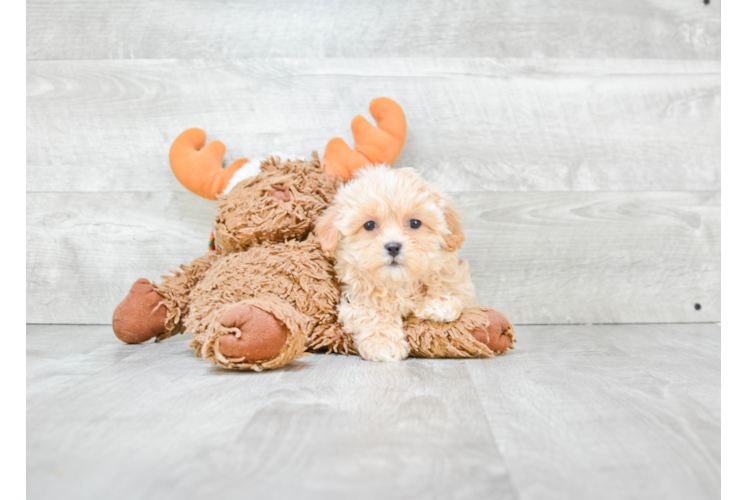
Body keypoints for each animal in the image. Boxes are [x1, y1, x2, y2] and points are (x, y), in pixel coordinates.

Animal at [314, 166, 476, 362]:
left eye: (415, 223)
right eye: (369, 225)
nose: (393, 247)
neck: (399, 283)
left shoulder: (459, 278)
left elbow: (451, 286)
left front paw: (439, 304)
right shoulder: (355, 299)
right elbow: (373, 313)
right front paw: (383, 344)